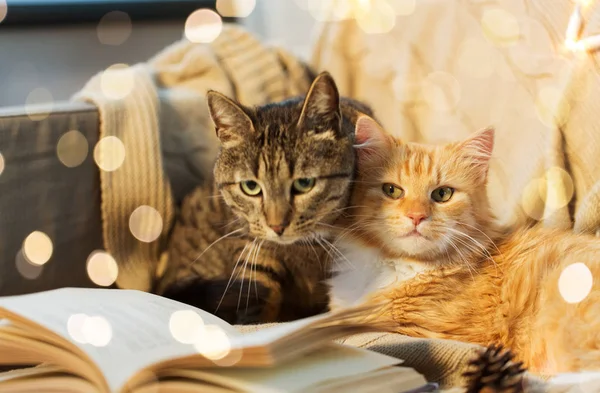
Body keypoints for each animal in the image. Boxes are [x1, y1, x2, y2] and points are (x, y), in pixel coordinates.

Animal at [159, 72, 376, 324]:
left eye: (304, 183)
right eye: (250, 186)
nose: (277, 226)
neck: (305, 249)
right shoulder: (249, 246)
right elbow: (256, 289)